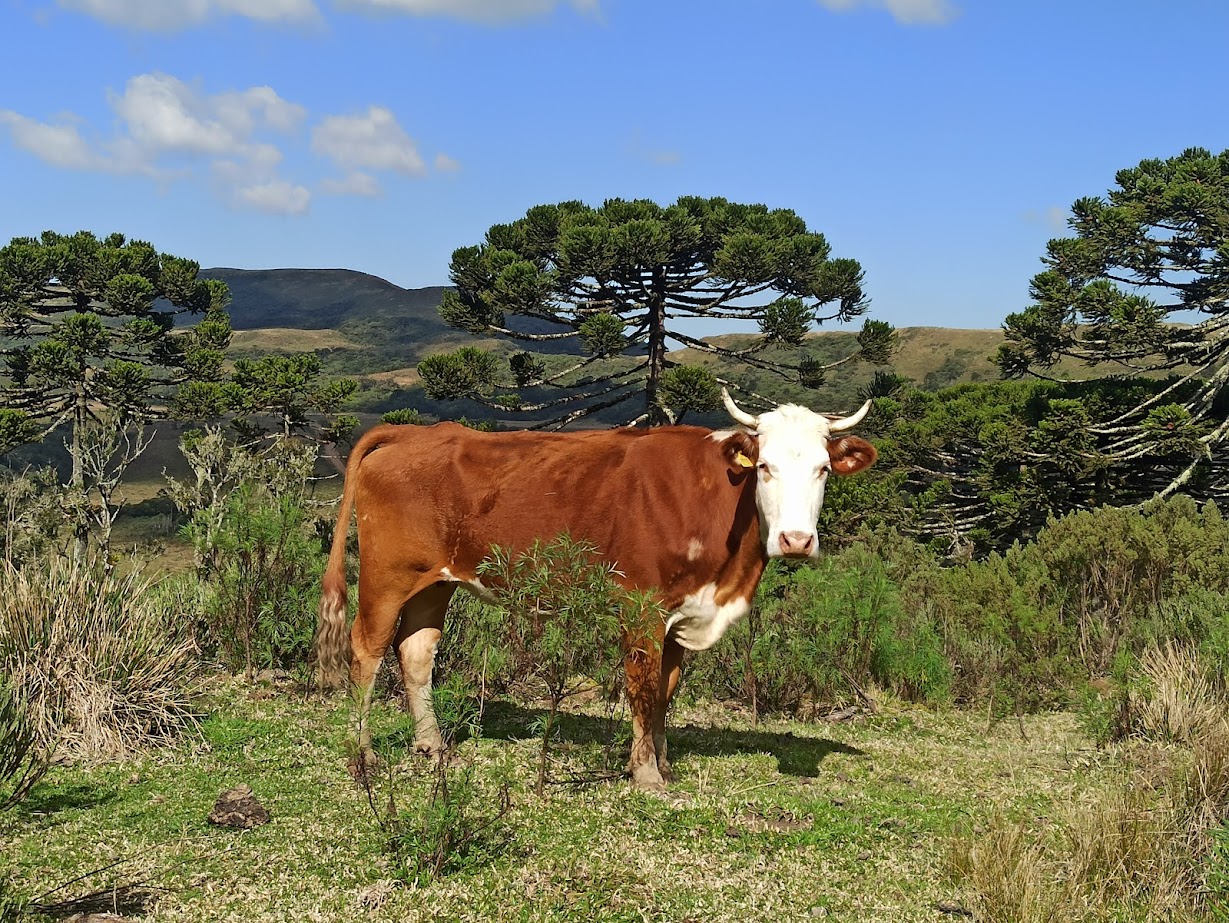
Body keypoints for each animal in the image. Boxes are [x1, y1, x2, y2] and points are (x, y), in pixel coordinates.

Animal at [314, 388, 875, 786]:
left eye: (823, 469)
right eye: (764, 466)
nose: (796, 540)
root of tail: (411, 433)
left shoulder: (682, 613)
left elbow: (666, 691)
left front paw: (662, 763)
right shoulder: (641, 606)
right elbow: (642, 689)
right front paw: (646, 775)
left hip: (435, 582)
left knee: (415, 653)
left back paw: (431, 746)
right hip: (387, 576)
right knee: (365, 651)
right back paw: (363, 754)